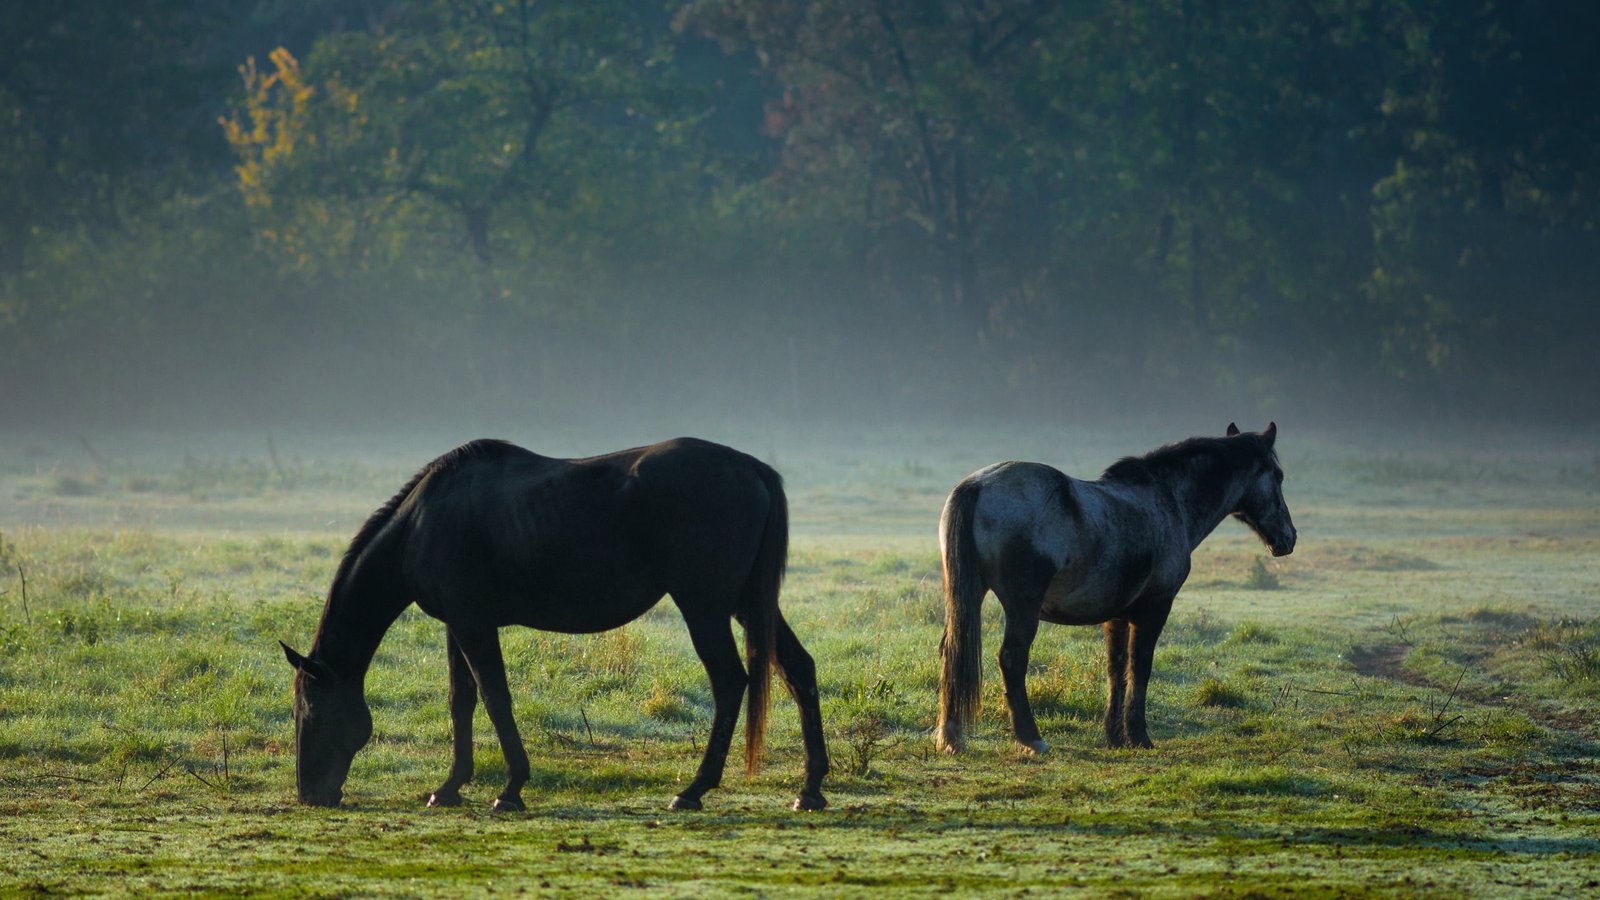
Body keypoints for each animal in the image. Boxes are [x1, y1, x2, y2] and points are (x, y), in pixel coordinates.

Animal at [279, 437, 829, 813]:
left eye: (311, 712)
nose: (310, 794)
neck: (421, 524)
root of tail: (753, 469)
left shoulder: (474, 625)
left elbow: (495, 697)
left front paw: (510, 789)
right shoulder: (459, 625)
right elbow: (463, 701)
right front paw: (451, 786)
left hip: (706, 606)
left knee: (730, 682)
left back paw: (694, 790)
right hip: (748, 602)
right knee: (799, 669)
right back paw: (811, 789)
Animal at [934, 423, 1297, 755]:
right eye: (1278, 476)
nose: (1288, 538)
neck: (1166, 500)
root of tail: (977, 484)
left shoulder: (1117, 616)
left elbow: (1116, 669)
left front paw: (1114, 736)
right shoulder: (1155, 609)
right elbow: (1140, 668)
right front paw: (1139, 736)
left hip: (967, 597)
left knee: (953, 651)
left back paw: (952, 737)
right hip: (1022, 608)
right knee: (1011, 659)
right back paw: (1031, 738)